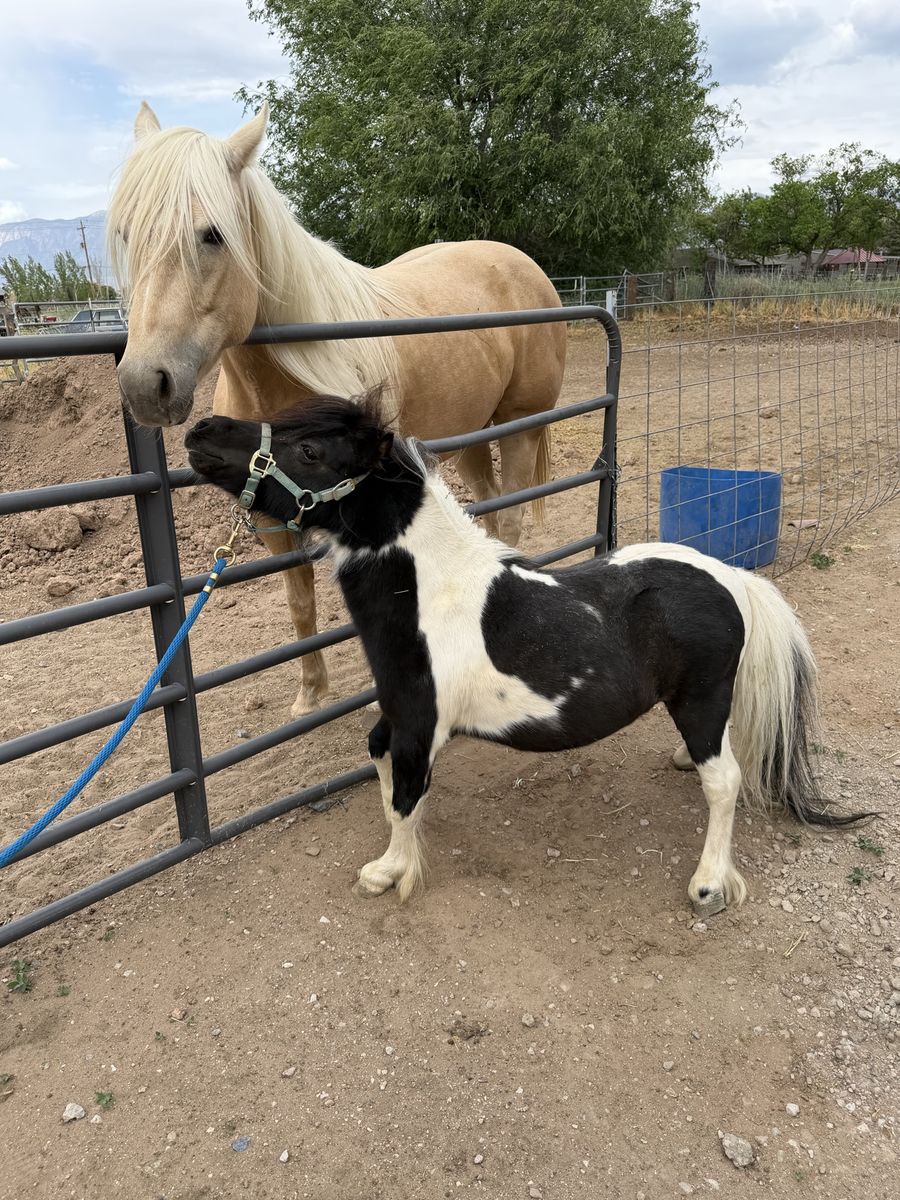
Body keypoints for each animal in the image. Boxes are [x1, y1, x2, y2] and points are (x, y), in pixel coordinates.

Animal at [108, 102, 566, 716]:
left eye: (212, 235)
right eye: (127, 235)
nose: (143, 384)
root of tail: (521, 264)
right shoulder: (269, 515)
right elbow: (299, 602)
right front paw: (310, 695)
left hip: (519, 427)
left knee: (512, 514)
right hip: (471, 435)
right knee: (490, 511)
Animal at [185, 393, 870, 914]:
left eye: (310, 451)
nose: (200, 430)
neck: (432, 593)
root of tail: (731, 579)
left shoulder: (420, 723)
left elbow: (404, 793)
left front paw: (389, 872)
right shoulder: (399, 711)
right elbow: (385, 771)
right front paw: (401, 851)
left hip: (701, 699)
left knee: (724, 780)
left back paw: (707, 886)